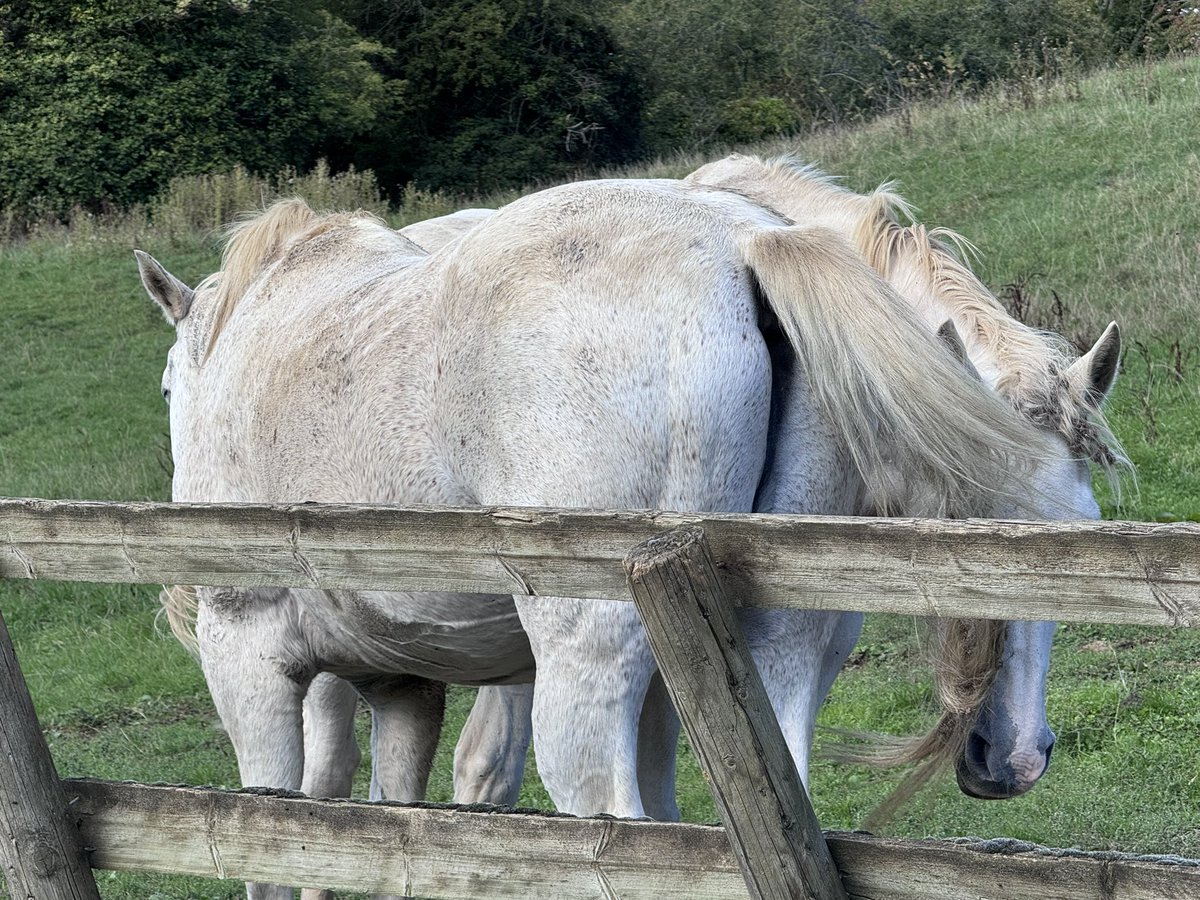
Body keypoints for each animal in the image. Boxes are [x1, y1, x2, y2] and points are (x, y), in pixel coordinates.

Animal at [140, 177, 1084, 897]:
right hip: (769, 652)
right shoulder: (403, 685)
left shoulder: (249, 659)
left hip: (585, 673)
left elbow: (273, 836)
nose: (1017, 757)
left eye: (166, 389)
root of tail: (744, 242)